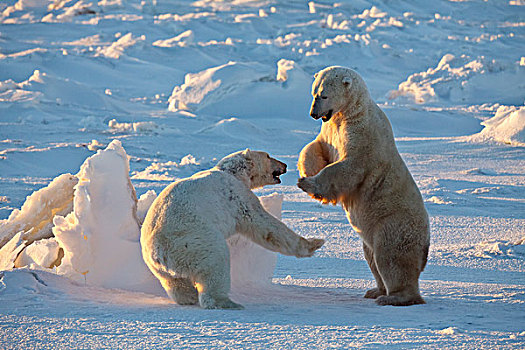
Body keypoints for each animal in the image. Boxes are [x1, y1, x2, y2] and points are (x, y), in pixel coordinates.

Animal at [141, 148, 326, 308]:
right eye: (268, 156)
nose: (285, 165)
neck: (232, 172)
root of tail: (159, 252)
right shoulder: (237, 196)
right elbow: (263, 225)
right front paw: (314, 243)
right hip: (194, 242)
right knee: (216, 264)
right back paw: (228, 303)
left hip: (158, 268)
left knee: (175, 284)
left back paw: (189, 298)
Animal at [296, 66, 428, 306]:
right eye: (313, 93)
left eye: (324, 95)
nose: (313, 114)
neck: (351, 112)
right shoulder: (331, 128)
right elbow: (316, 147)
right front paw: (306, 173)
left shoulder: (362, 134)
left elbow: (349, 166)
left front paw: (310, 185)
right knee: (371, 256)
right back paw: (375, 291)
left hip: (393, 224)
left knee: (391, 258)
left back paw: (393, 297)